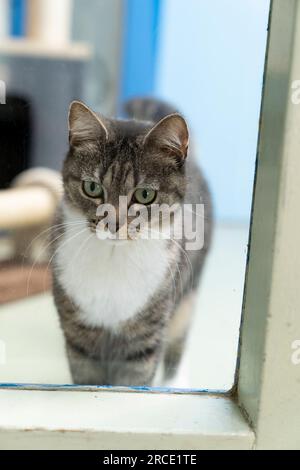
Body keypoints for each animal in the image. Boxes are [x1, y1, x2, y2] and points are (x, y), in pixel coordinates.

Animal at [51, 98, 212, 386]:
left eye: (145, 195)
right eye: (92, 188)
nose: (113, 224)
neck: (114, 257)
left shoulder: (143, 340)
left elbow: (134, 382)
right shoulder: (79, 337)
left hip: (186, 298)